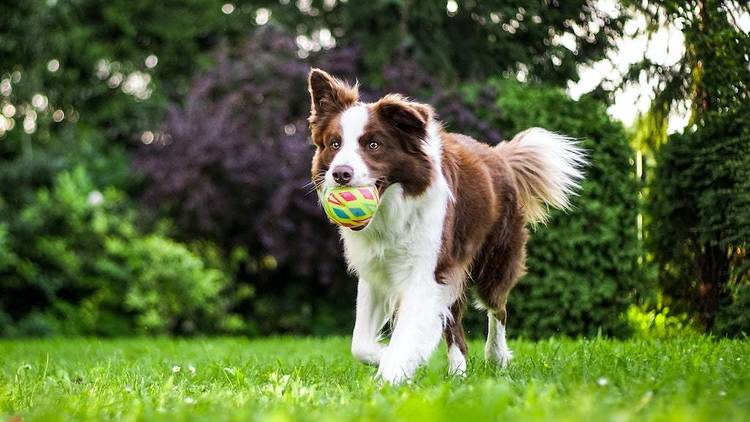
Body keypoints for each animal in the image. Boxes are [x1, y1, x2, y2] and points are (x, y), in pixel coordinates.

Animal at [306, 68, 588, 382]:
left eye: (373, 145)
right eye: (334, 144)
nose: (340, 173)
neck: (393, 210)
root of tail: (498, 155)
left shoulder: (427, 271)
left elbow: (407, 332)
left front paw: (392, 373)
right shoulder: (376, 271)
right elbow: (360, 344)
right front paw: (389, 358)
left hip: (494, 261)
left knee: (498, 308)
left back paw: (496, 356)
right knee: (456, 328)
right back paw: (458, 373)